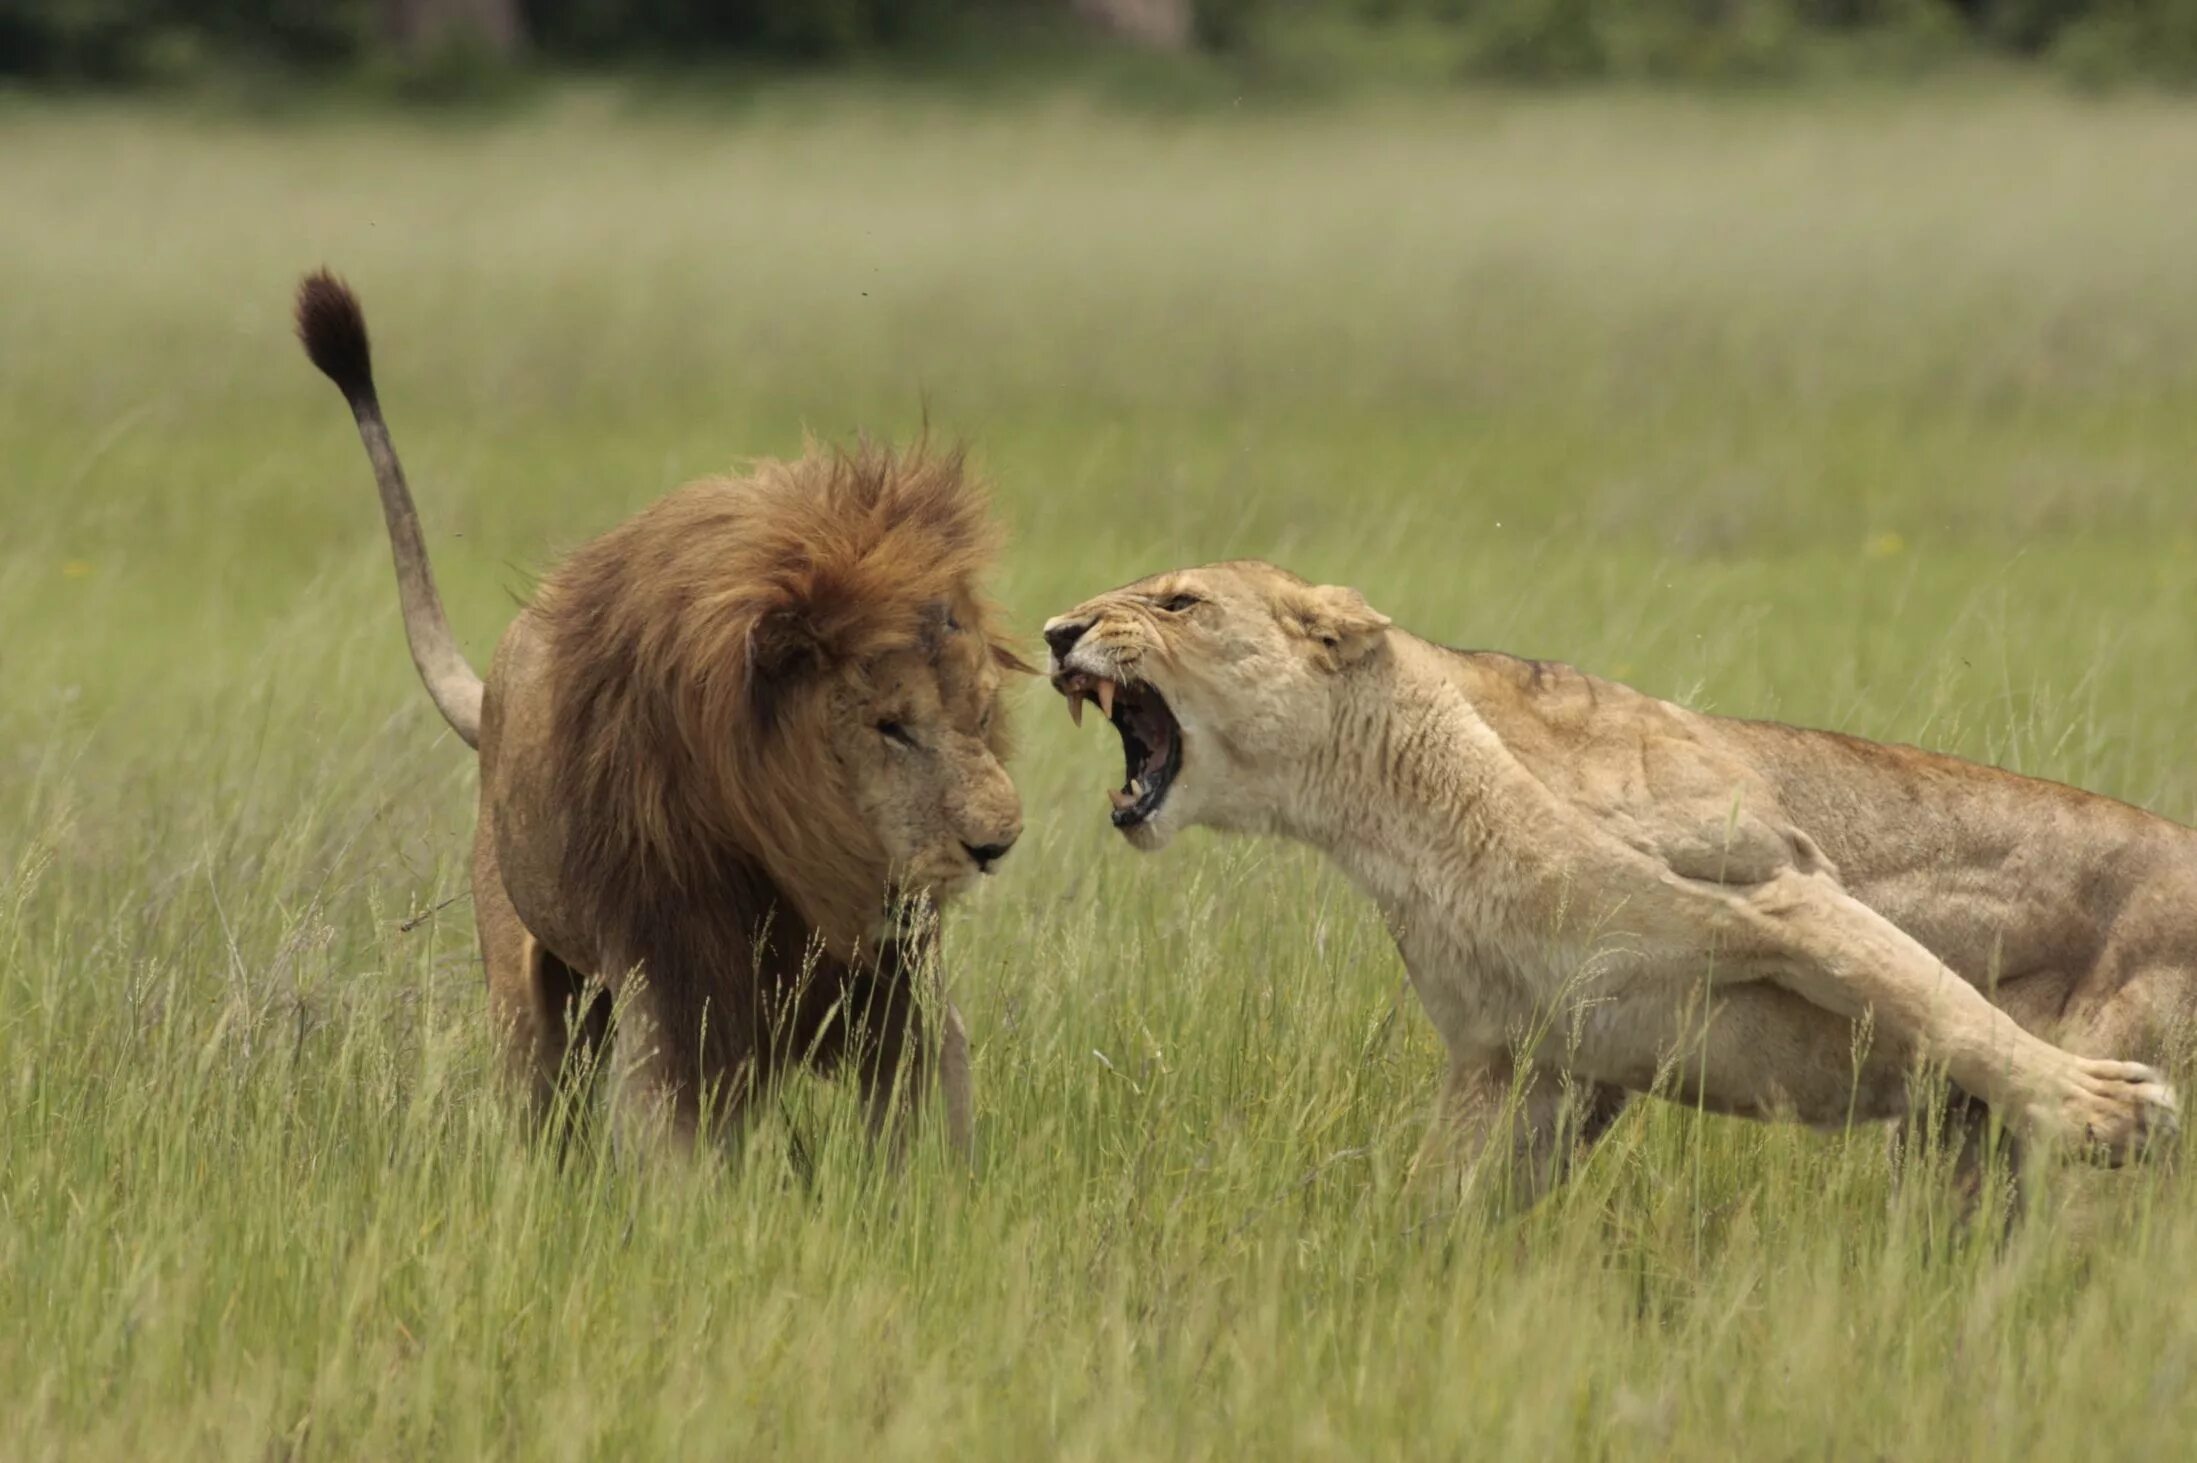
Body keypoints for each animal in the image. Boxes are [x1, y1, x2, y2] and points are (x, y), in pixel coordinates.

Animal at [292, 270, 1028, 1151]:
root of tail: (494, 695)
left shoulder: (899, 981)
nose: (996, 845)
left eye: (979, 718)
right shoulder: (674, 975)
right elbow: (679, 1127)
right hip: (529, 992)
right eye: (890, 727)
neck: (794, 850)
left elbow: (925, 1106)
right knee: (545, 1099)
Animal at [1045, 557, 2179, 1195]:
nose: (1056, 631)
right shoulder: (1526, 1058)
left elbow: (1937, 998)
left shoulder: (1780, 887)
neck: (1380, 816)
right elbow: (1431, 1205)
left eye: (1179, 600)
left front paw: (2099, 1106)